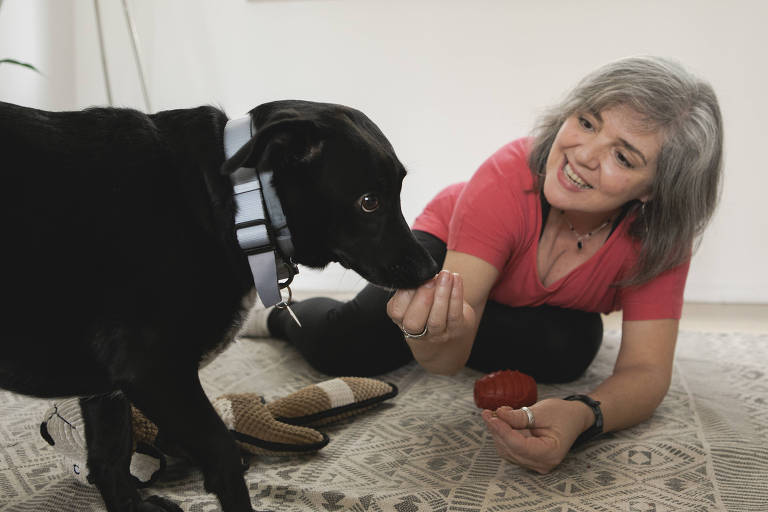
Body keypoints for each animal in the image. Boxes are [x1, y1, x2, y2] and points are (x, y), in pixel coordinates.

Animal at [0, 101, 438, 512]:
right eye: (369, 202)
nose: (432, 268)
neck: (239, 202)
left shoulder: (109, 389)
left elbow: (109, 458)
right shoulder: (155, 371)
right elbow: (223, 456)